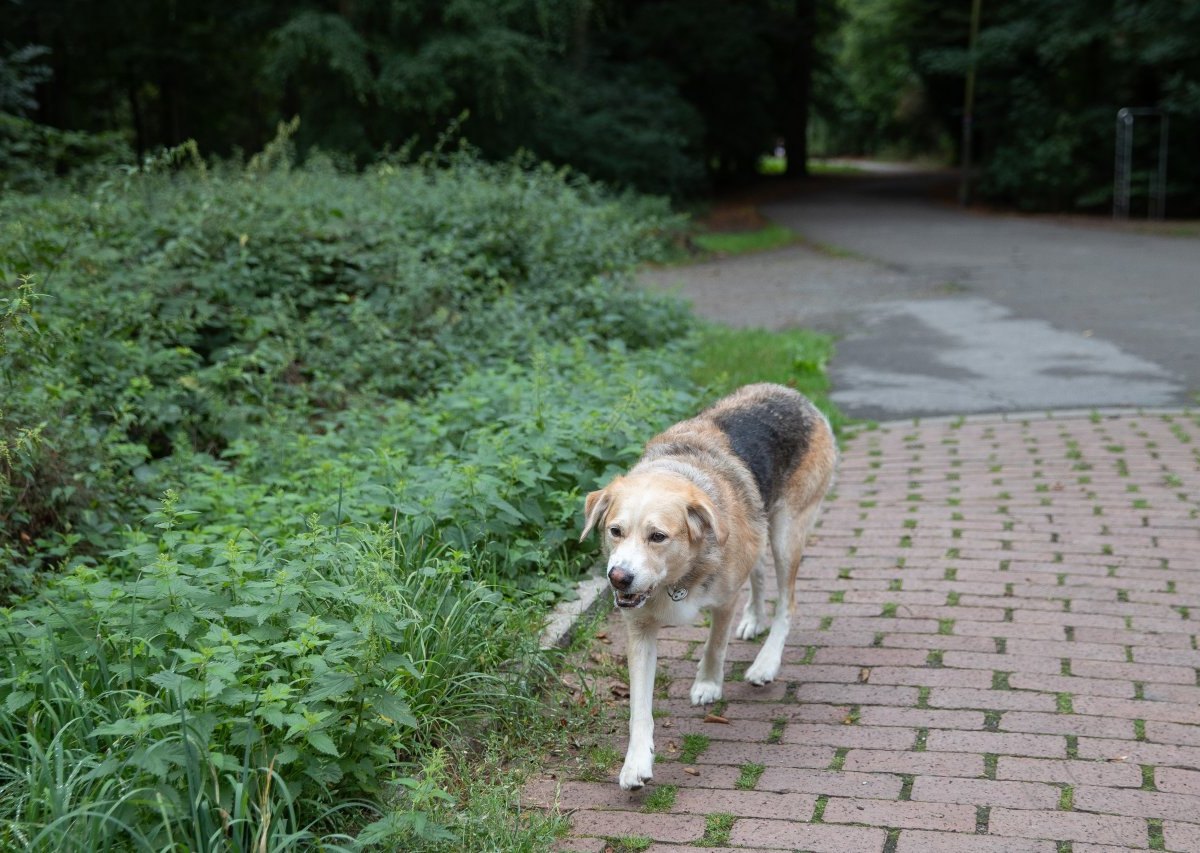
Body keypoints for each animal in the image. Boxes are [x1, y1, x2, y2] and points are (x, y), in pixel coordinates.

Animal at [580, 383, 835, 791]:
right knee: (759, 574)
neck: (678, 578)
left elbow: (715, 645)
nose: (618, 578)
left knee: (788, 603)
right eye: (615, 531)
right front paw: (636, 763)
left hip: (786, 533)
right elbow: (639, 707)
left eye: (658, 536)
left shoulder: (724, 600)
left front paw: (709, 685)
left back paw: (766, 662)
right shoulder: (639, 630)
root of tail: (790, 392)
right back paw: (753, 619)